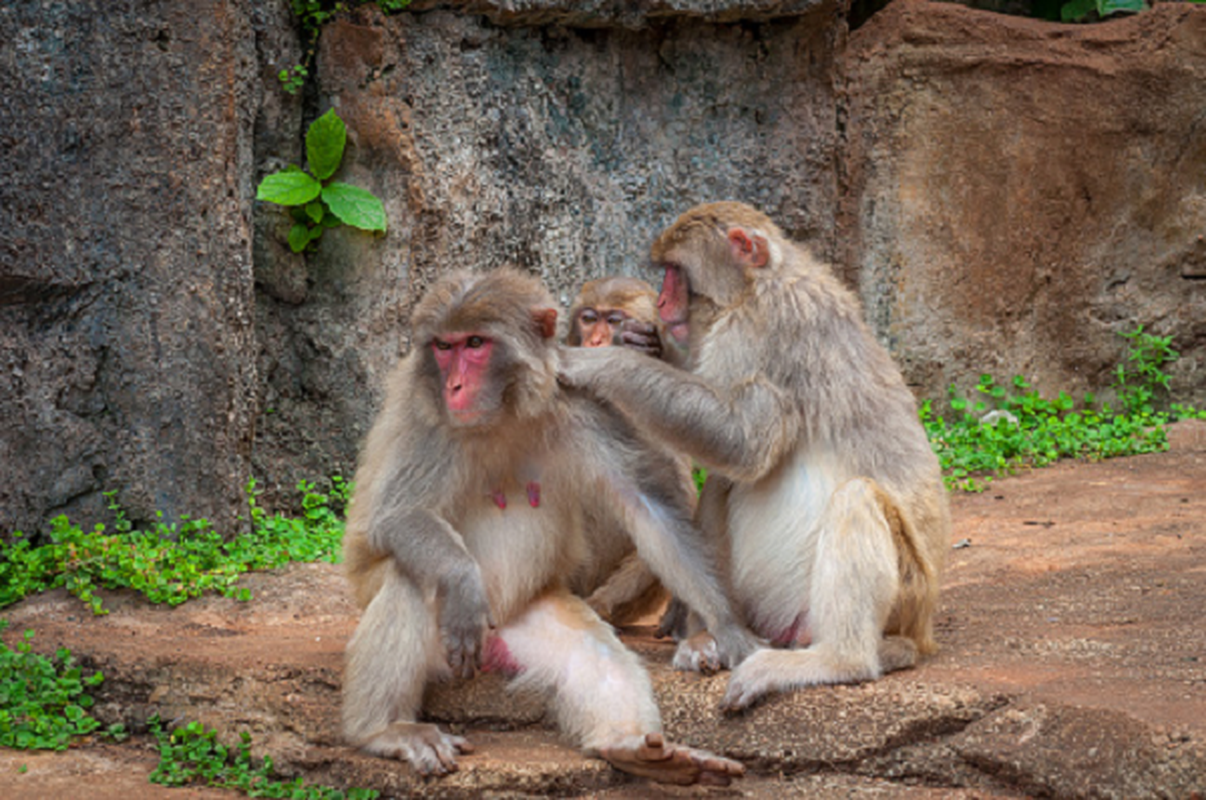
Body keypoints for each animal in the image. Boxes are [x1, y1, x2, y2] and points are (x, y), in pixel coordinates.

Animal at [342, 267, 752, 781]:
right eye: (443, 346)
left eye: (475, 343)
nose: (454, 387)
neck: (504, 410)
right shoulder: (426, 418)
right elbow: (396, 517)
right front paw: (461, 579)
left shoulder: (582, 401)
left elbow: (650, 508)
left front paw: (727, 627)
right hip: (446, 639)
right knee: (409, 580)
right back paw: (385, 730)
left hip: (526, 619)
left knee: (591, 654)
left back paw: (630, 745)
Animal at [561, 201, 950, 714]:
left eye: (674, 272)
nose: (662, 305)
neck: (762, 282)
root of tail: (924, 630)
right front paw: (648, 346)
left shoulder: (760, 330)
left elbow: (744, 442)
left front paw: (599, 364)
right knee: (720, 487)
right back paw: (707, 636)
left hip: (906, 596)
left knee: (856, 498)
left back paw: (840, 660)